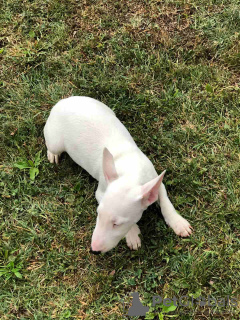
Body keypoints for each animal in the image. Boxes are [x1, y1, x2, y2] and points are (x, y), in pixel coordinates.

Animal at [44, 96, 192, 254]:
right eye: (98, 214)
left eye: (117, 224)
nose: (94, 250)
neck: (131, 173)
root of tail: (62, 102)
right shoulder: (100, 192)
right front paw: (133, 235)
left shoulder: (155, 182)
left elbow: (165, 201)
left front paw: (178, 223)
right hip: (55, 141)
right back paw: (52, 154)